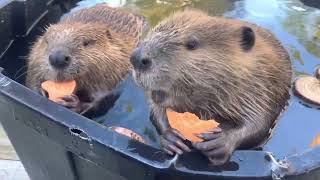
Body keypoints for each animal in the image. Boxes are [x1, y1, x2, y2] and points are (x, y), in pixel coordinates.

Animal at [129, 9, 292, 165]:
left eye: (192, 44)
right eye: (153, 32)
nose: (136, 58)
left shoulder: (262, 87)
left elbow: (259, 124)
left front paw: (219, 143)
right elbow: (156, 111)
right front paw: (172, 138)